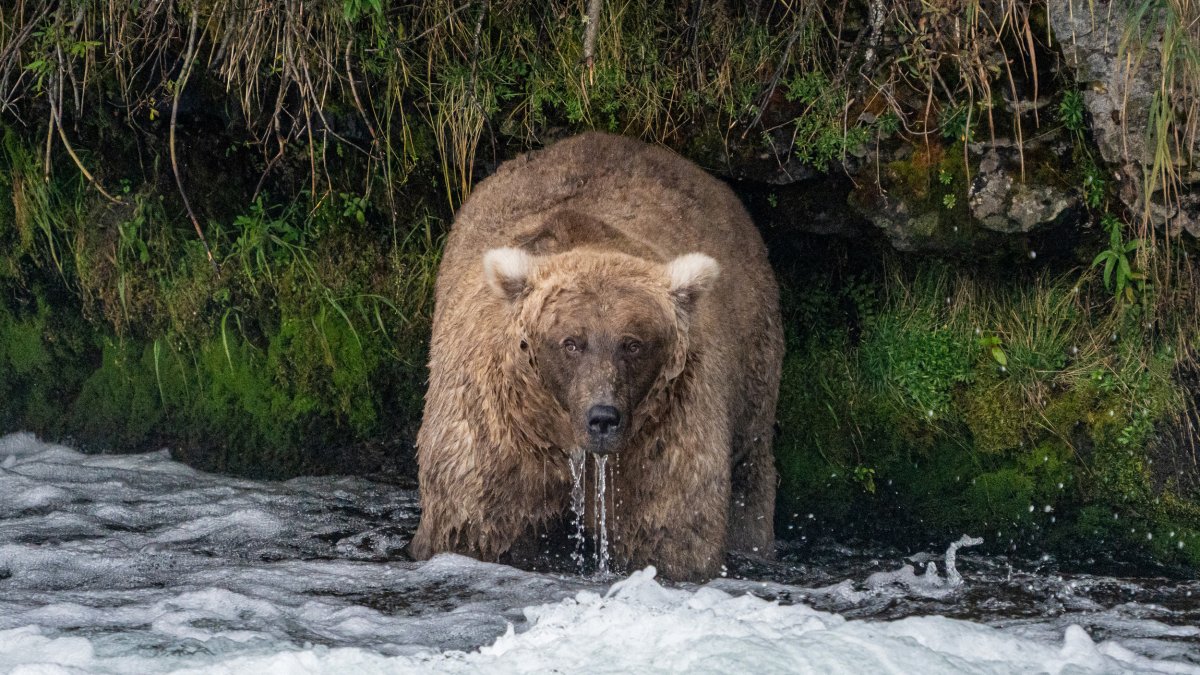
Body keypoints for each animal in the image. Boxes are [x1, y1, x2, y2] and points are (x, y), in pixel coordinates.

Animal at [410, 131, 787, 578]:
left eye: (634, 344)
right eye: (571, 342)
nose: (603, 417)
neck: (568, 443)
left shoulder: (663, 437)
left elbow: (671, 532)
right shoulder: (498, 437)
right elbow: (472, 526)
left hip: (753, 365)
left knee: (750, 469)